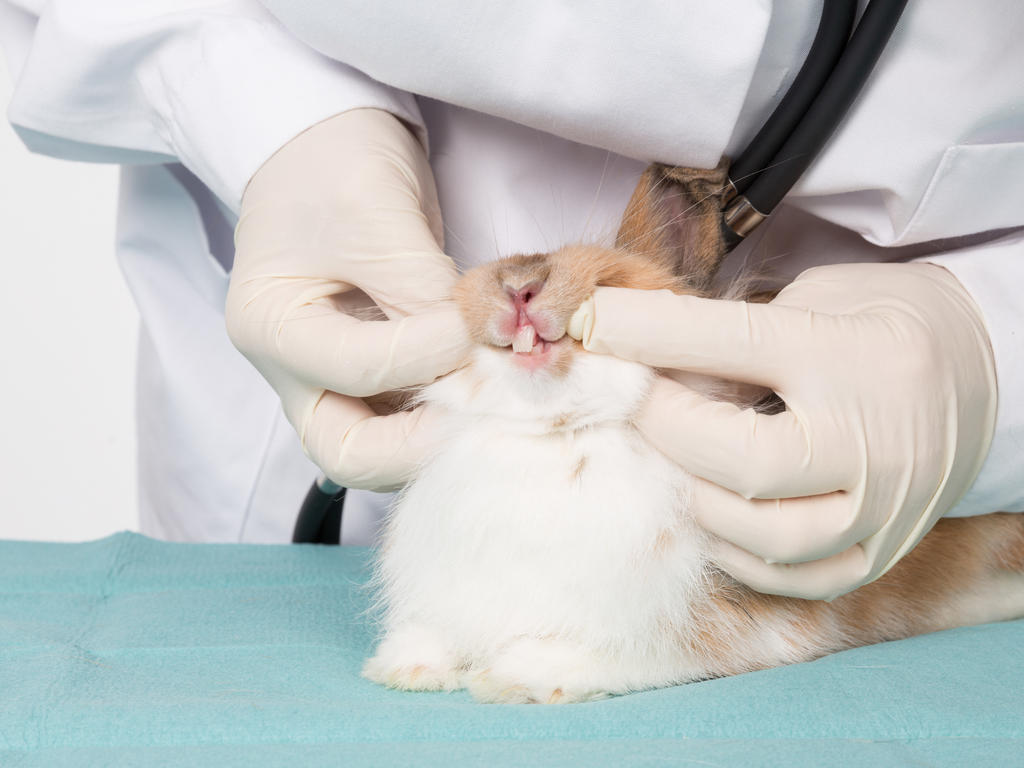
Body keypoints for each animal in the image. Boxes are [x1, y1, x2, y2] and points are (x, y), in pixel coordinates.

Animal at [360, 160, 1024, 704]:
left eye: (609, 284)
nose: (518, 286)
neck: (558, 435)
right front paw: (408, 668)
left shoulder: (723, 626)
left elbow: (623, 650)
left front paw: (513, 678)